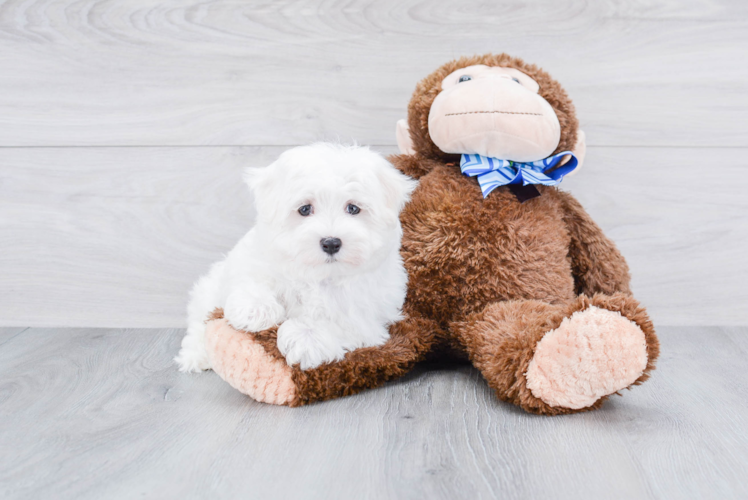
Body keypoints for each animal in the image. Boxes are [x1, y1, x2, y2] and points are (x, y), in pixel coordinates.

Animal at [178, 144, 418, 372]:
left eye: (353, 208)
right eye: (304, 209)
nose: (331, 243)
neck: (319, 275)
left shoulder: (367, 316)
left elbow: (339, 323)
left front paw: (306, 337)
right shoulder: (254, 258)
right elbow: (251, 278)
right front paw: (256, 308)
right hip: (207, 290)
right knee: (200, 319)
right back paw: (196, 355)